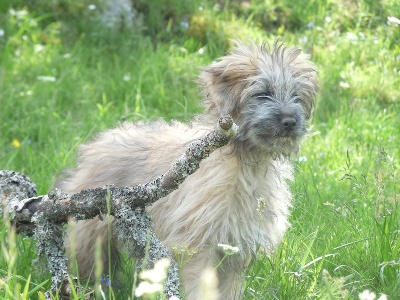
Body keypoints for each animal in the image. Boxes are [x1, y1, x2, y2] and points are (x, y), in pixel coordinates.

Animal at [55, 40, 318, 300]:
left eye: (296, 96)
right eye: (262, 94)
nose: (290, 122)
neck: (247, 162)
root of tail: (95, 145)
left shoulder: (235, 253)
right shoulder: (198, 246)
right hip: (90, 238)